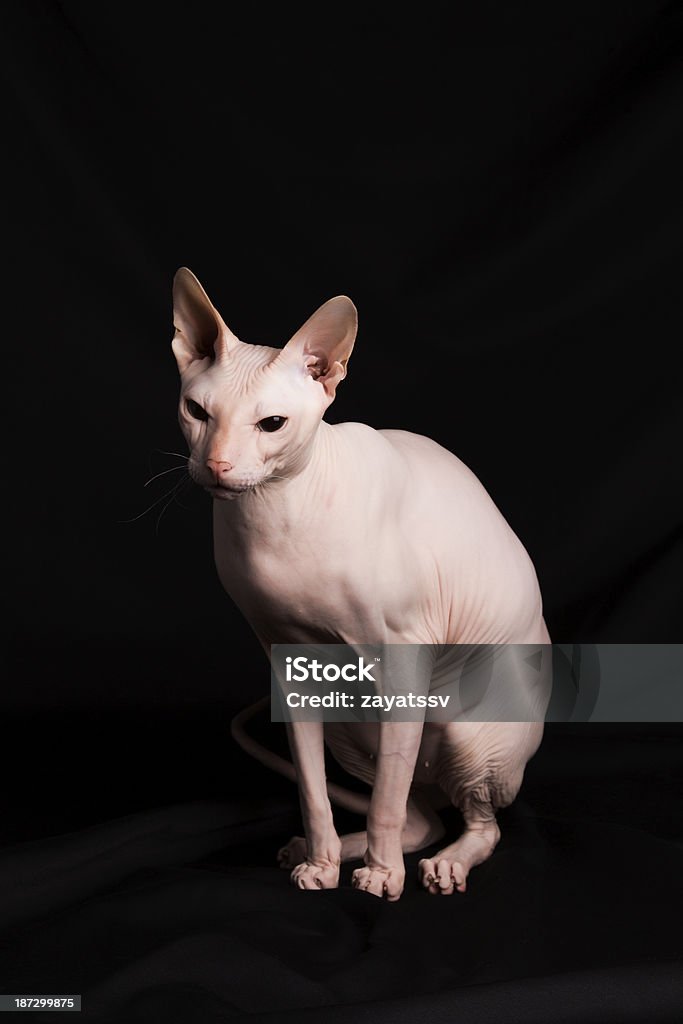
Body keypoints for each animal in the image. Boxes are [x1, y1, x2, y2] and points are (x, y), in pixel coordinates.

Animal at [174, 268, 552, 901]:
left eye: (271, 424)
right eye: (197, 410)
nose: (217, 467)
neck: (278, 514)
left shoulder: (403, 655)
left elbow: (384, 805)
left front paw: (379, 876)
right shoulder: (287, 662)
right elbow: (312, 789)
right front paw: (324, 863)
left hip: (467, 734)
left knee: (474, 821)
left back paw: (444, 863)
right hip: (349, 724)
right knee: (420, 813)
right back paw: (325, 850)